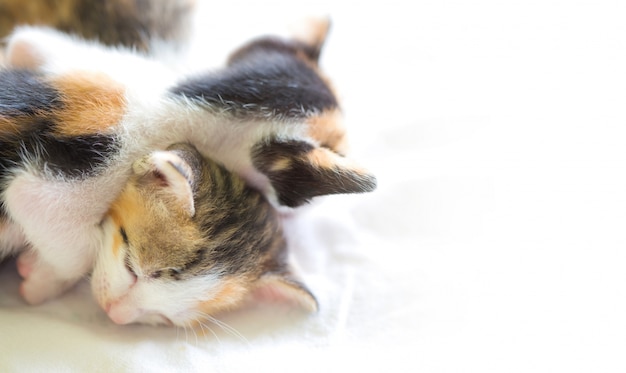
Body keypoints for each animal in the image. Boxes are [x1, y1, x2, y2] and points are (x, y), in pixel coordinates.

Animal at [0, 21, 372, 304]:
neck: (186, 100)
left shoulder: (81, 62)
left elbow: (26, 39)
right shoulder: (95, 172)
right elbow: (43, 213)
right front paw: (40, 281)